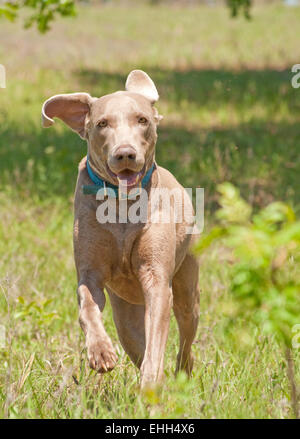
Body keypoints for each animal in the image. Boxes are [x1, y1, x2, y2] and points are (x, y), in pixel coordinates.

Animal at [41, 69, 199, 388]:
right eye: (102, 123)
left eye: (142, 120)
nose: (125, 154)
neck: (123, 206)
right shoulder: (90, 273)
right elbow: (87, 308)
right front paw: (101, 353)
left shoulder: (157, 280)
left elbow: (156, 343)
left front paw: (150, 384)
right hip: (125, 315)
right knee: (135, 340)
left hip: (187, 289)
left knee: (185, 337)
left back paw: (181, 375)